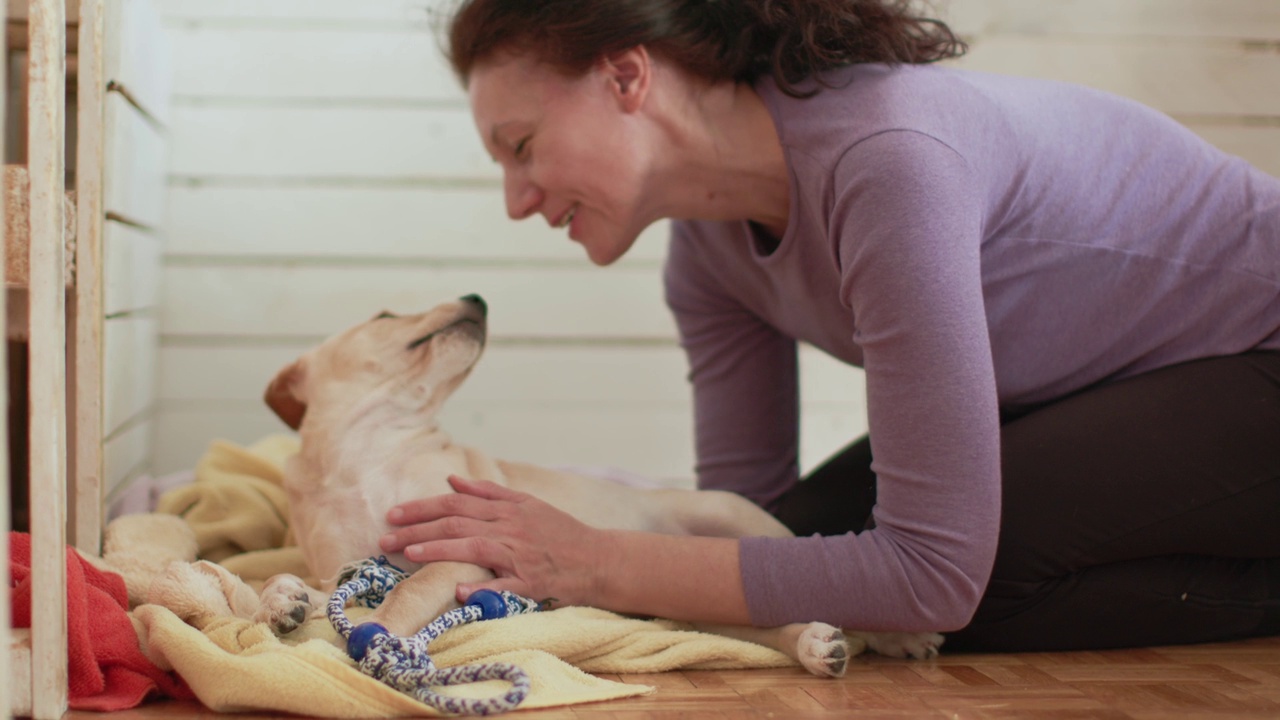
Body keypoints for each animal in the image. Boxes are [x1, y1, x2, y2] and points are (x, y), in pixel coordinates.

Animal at [257, 292, 942, 671]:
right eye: (385, 314)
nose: (478, 297)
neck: (368, 453)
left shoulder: (462, 552)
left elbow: (405, 594)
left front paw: (375, 640)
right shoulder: (347, 565)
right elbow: (317, 587)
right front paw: (283, 602)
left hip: (737, 520)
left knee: (830, 577)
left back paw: (895, 634)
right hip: (695, 607)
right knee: (775, 624)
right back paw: (819, 647)